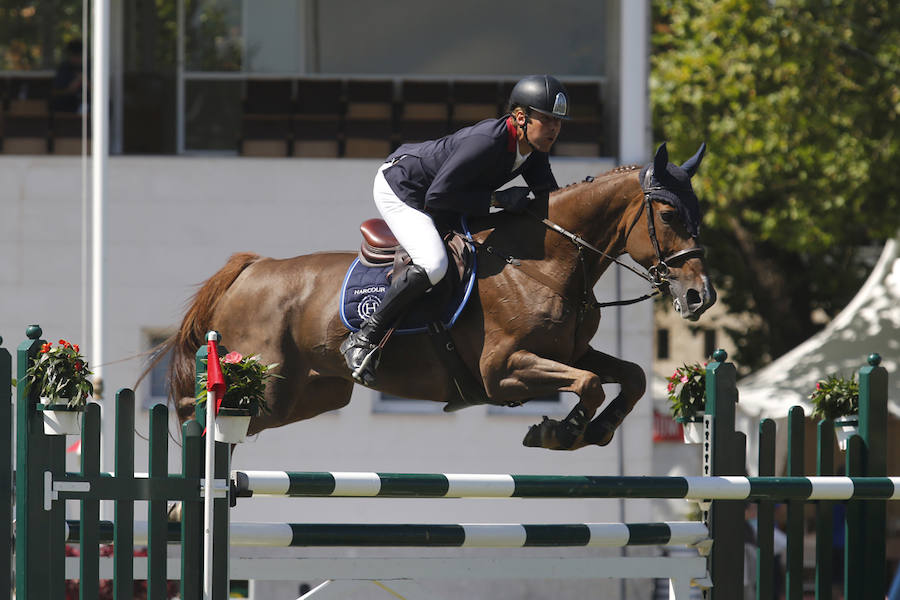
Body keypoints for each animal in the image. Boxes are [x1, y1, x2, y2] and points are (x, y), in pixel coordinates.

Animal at [162, 142, 716, 450]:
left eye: (699, 212)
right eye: (669, 215)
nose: (700, 297)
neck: (544, 264)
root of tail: (252, 270)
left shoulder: (572, 351)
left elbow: (631, 377)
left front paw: (597, 431)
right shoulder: (502, 369)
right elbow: (590, 384)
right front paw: (559, 434)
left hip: (313, 394)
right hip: (264, 386)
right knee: (199, 420)